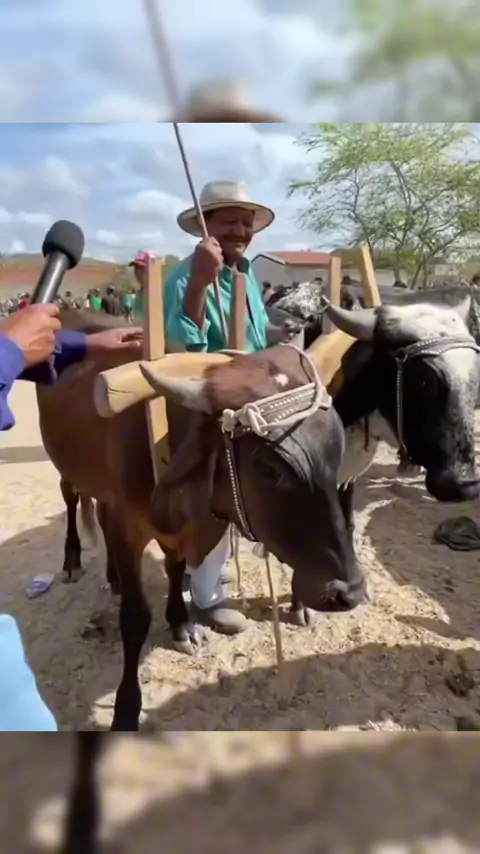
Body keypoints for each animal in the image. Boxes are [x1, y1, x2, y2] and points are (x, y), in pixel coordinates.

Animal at [37, 311, 367, 730]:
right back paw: (73, 560)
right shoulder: (129, 528)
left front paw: (180, 623)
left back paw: (113, 577)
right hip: (65, 467)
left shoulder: (178, 530)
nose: (349, 591)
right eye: (269, 468)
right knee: (71, 497)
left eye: (336, 447)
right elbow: (135, 618)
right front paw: (126, 709)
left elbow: (176, 571)